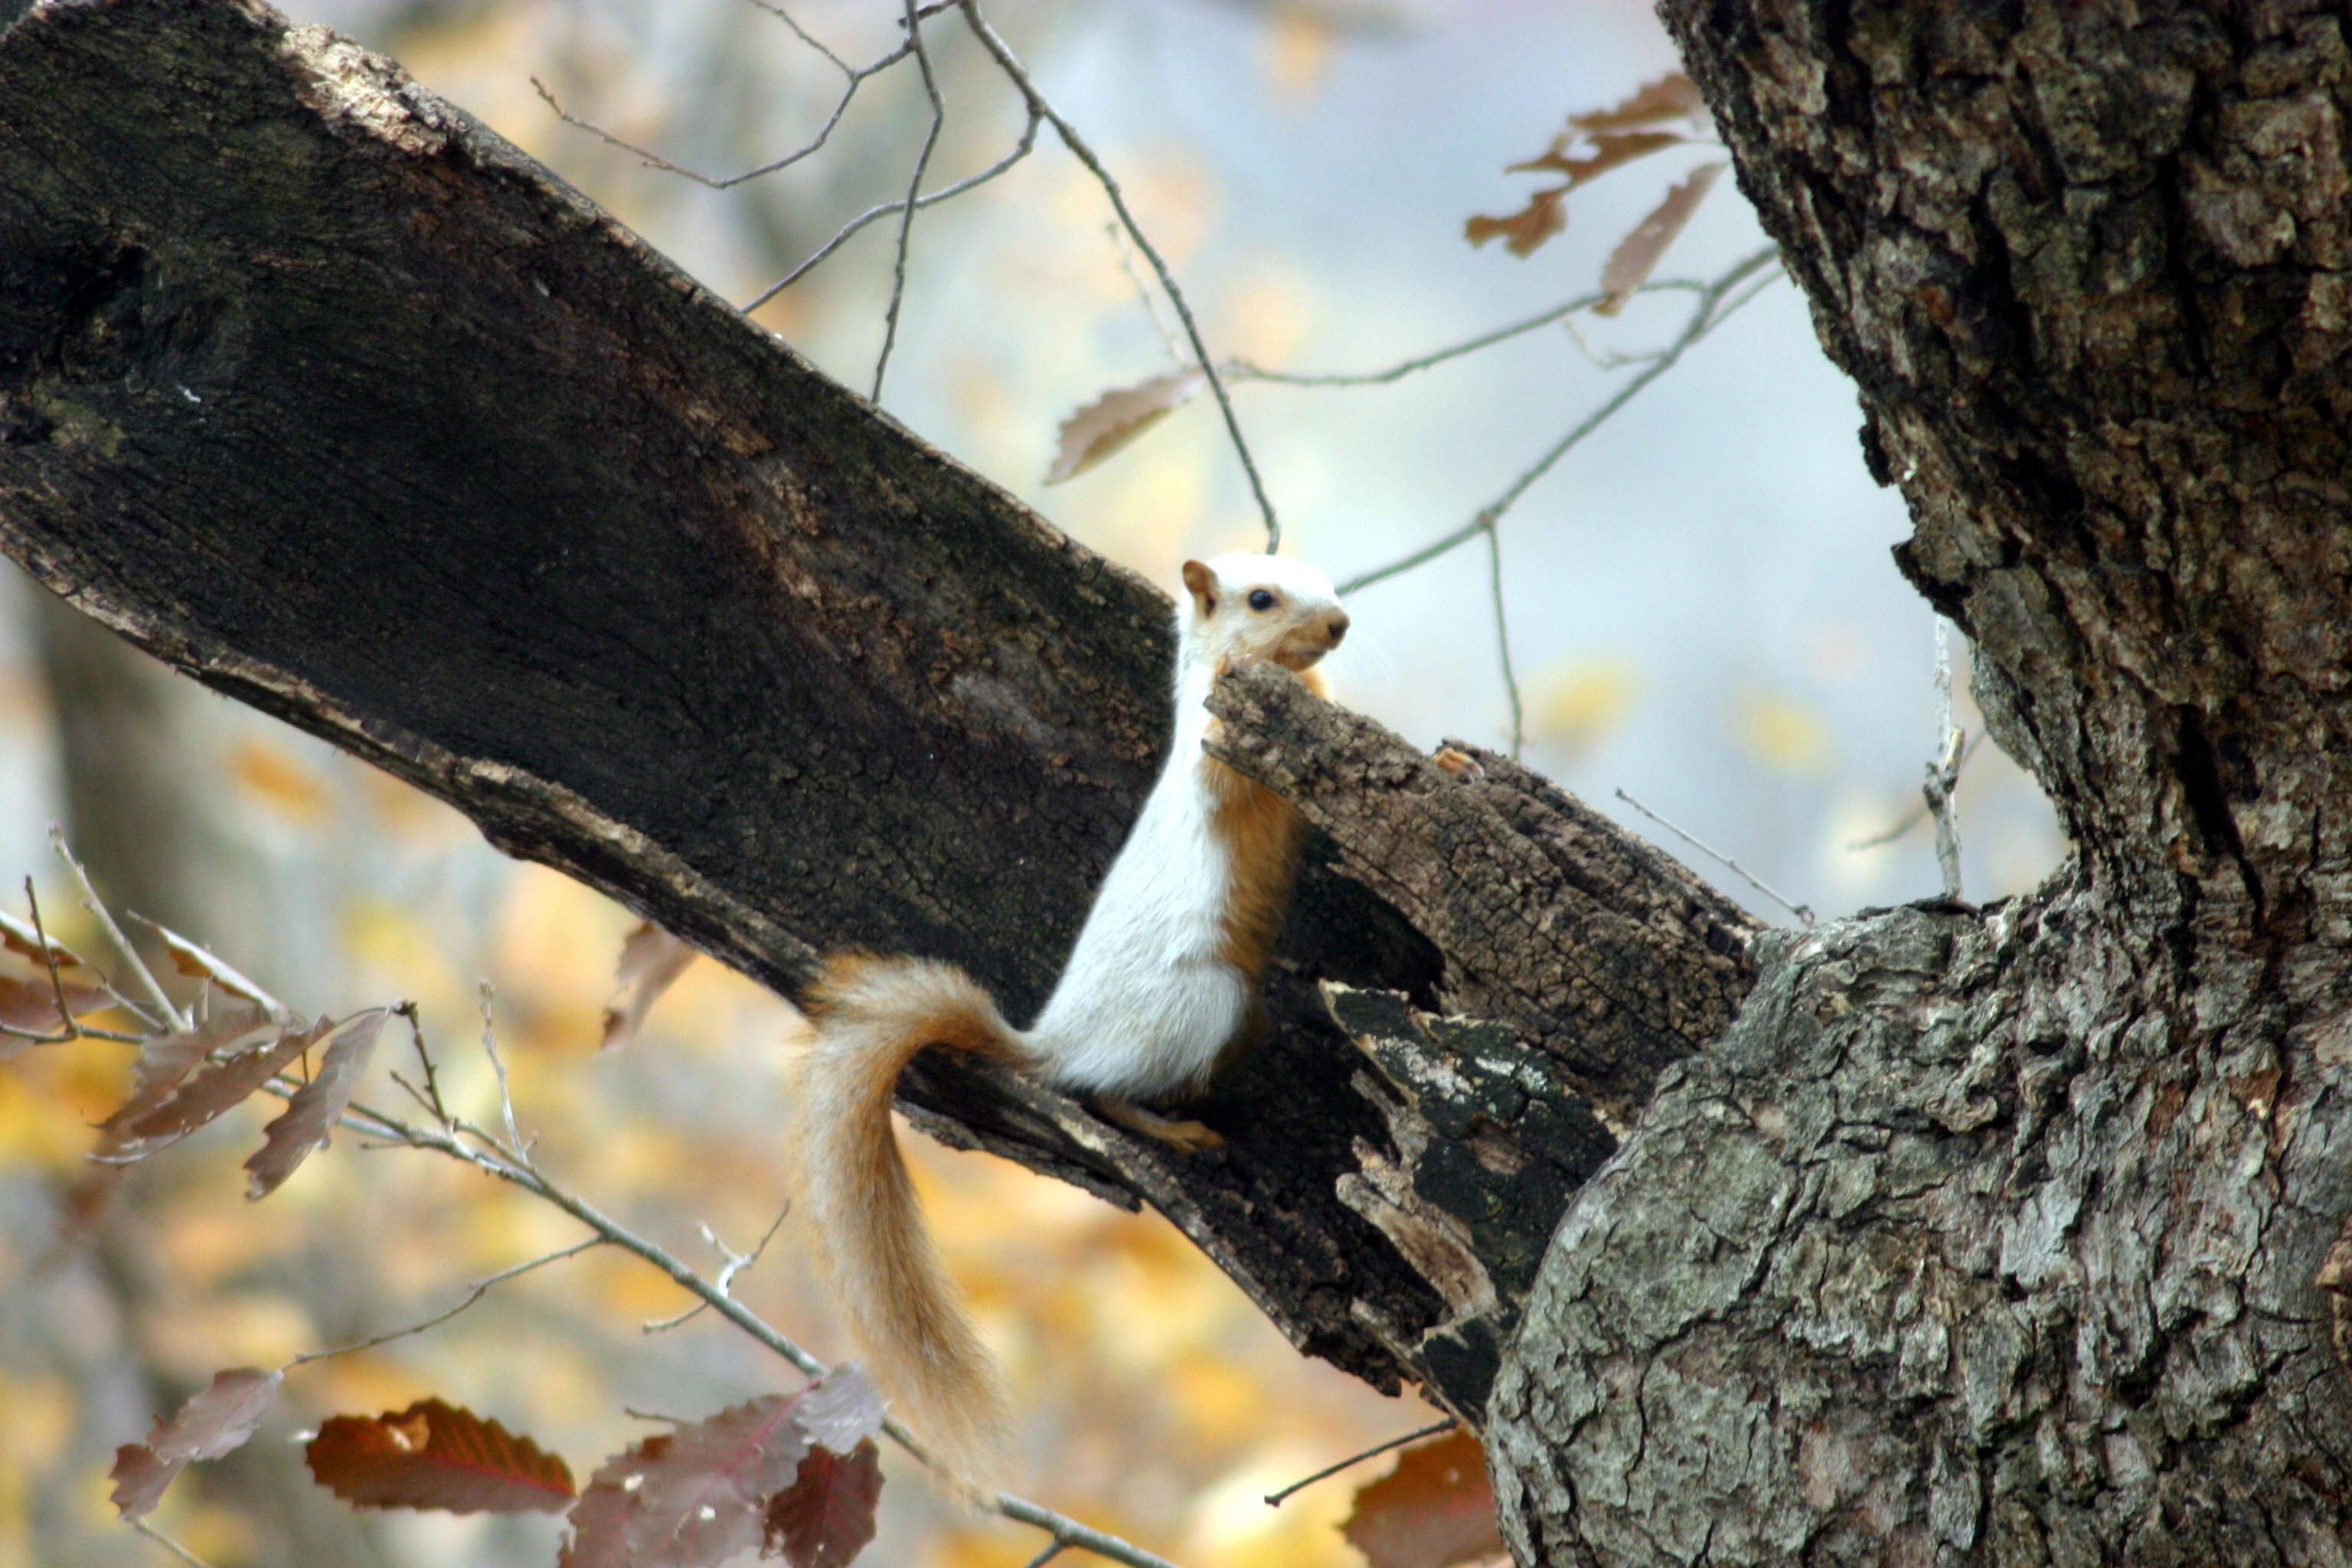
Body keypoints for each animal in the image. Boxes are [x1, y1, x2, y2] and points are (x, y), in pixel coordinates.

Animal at [790, 552, 1345, 1485]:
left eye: (1323, 575)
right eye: (1261, 598)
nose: (1339, 624)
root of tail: (1051, 1042)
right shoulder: (1215, 760)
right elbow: (1238, 780)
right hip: (1206, 1003)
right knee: (1103, 1093)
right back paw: (1173, 1128)